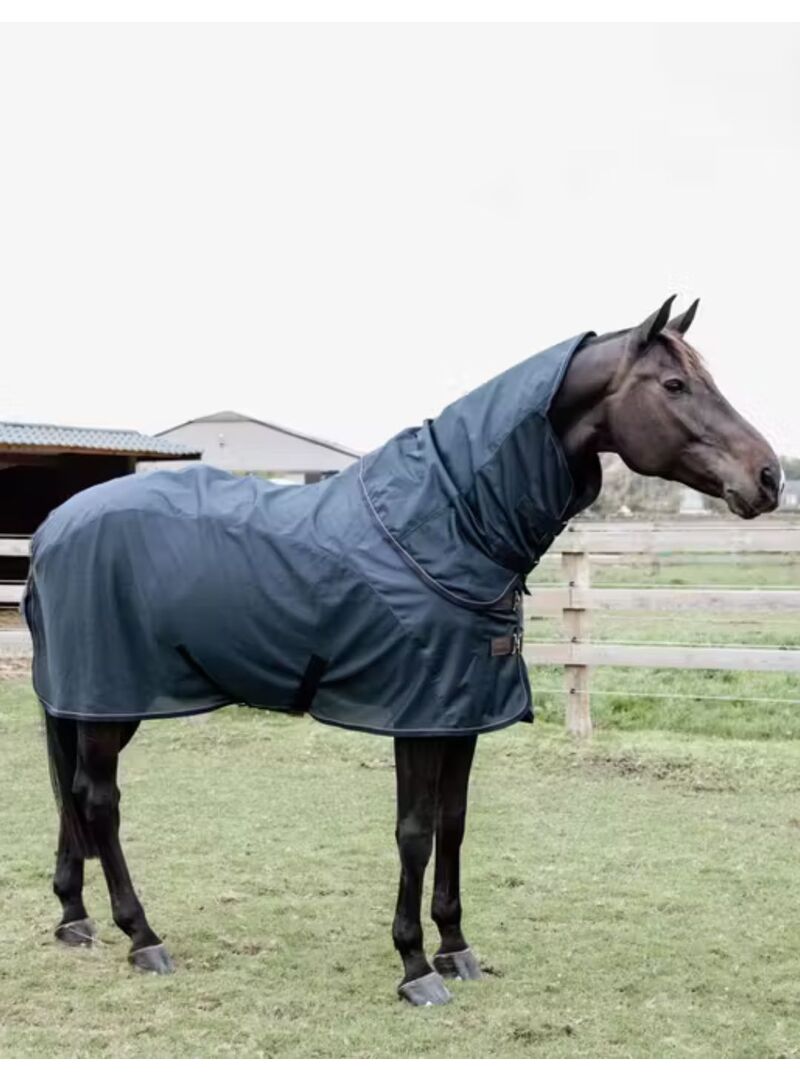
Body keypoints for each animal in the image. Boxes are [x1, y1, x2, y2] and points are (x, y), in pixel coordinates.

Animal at [24, 296, 782, 1006]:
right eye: (675, 384)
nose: (770, 476)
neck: (447, 525)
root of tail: (53, 528)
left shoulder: (462, 716)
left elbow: (454, 823)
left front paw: (456, 948)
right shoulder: (416, 717)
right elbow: (414, 831)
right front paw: (415, 966)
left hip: (88, 701)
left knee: (70, 792)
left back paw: (75, 919)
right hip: (109, 698)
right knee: (98, 800)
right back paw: (142, 936)